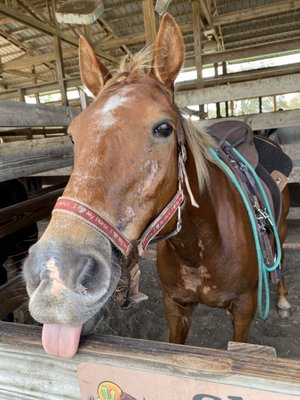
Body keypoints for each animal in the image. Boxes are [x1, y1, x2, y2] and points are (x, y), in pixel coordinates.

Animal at [23, 14, 290, 360]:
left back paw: (283, 300)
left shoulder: (244, 310)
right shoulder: (175, 307)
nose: (55, 273)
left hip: (281, 228)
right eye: (72, 134)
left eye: (164, 128)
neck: (199, 248)